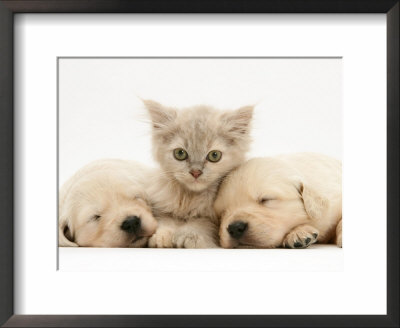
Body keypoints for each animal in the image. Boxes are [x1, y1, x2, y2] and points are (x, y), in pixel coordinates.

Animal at [142, 100, 252, 249]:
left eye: (214, 155)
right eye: (180, 153)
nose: (195, 172)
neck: (190, 198)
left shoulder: (213, 220)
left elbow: (200, 224)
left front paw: (189, 236)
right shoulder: (162, 208)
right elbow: (166, 221)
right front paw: (162, 237)